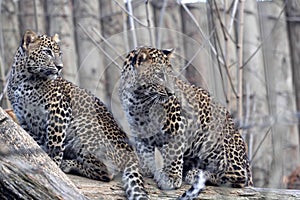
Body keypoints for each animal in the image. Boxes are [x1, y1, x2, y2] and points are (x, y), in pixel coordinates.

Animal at [7, 30, 150, 200]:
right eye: (47, 52)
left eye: (59, 54)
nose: (60, 67)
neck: (23, 77)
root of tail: (130, 151)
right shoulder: (22, 117)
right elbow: (33, 141)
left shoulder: (59, 109)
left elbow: (54, 144)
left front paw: (54, 165)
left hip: (85, 125)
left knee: (107, 173)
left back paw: (67, 164)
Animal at [119, 46, 253, 198]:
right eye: (159, 75)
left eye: (171, 76)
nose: (171, 93)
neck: (139, 99)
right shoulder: (140, 130)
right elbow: (144, 152)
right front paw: (148, 170)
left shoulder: (175, 123)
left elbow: (173, 152)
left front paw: (171, 177)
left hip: (213, 142)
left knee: (238, 176)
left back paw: (195, 174)